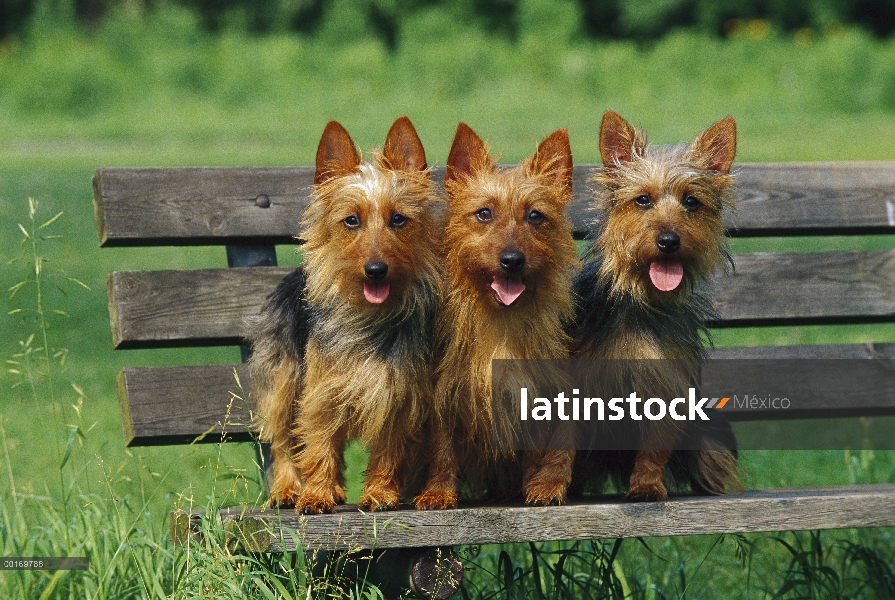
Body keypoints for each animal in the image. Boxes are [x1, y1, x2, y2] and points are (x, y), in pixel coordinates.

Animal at [248, 116, 440, 510]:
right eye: (351, 221)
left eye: (399, 220)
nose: (376, 269)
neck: (368, 318)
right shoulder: (321, 391)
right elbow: (319, 441)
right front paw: (316, 494)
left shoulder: (398, 393)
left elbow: (389, 450)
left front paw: (380, 492)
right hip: (283, 378)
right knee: (282, 440)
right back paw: (287, 489)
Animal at [414, 124, 580, 508]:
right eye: (484, 213)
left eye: (535, 216)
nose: (512, 260)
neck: (502, 320)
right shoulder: (445, 392)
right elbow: (442, 448)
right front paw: (438, 492)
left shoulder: (543, 390)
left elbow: (548, 448)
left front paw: (544, 485)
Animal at [576, 110, 744, 500]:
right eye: (642, 200)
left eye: (691, 202)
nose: (669, 240)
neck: (644, 302)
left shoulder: (667, 387)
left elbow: (654, 449)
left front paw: (647, 486)